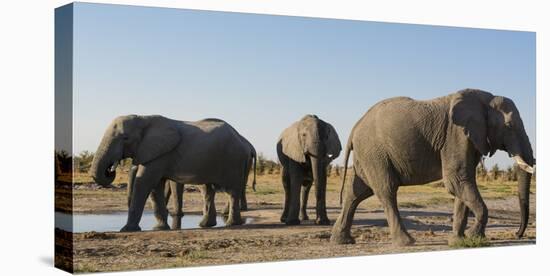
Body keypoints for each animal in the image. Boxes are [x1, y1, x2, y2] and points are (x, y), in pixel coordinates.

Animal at [90, 114, 254, 231]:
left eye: (125, 138)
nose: (110, 169)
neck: (143, 118)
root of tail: (240, 137)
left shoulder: (161, 154)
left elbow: (144, 182)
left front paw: (127, 230)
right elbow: (155, 187)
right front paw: (160, 228)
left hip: (233, 159)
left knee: (232, 191)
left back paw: (231, 224)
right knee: (208, 190)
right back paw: (206, 225)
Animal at [330, 89, 536, 247]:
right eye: (509, 125)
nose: (517, 234)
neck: (485, 98)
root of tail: (354, 128)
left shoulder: (469, 139)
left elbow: (462, 183)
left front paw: (457, 241)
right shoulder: (456, 135)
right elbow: (456, 181)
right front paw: (473, 237)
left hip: (368, 155)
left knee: (357, 193)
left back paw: (342, 241)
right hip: (375, 153)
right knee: (386, 190)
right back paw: (406, 242)